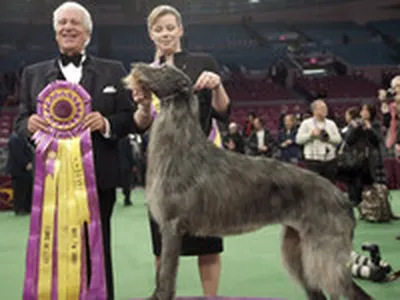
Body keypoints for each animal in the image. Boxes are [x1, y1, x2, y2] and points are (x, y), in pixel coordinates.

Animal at [124, 61, 372, 300]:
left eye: (163, 68)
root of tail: (343, 200)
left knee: (352, 290)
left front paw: (158, 296)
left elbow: (165, 274)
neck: (180, 143)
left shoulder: (172, 226)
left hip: (325, 254)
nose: (135, 66)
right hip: (297, 248)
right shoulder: (170, 228)